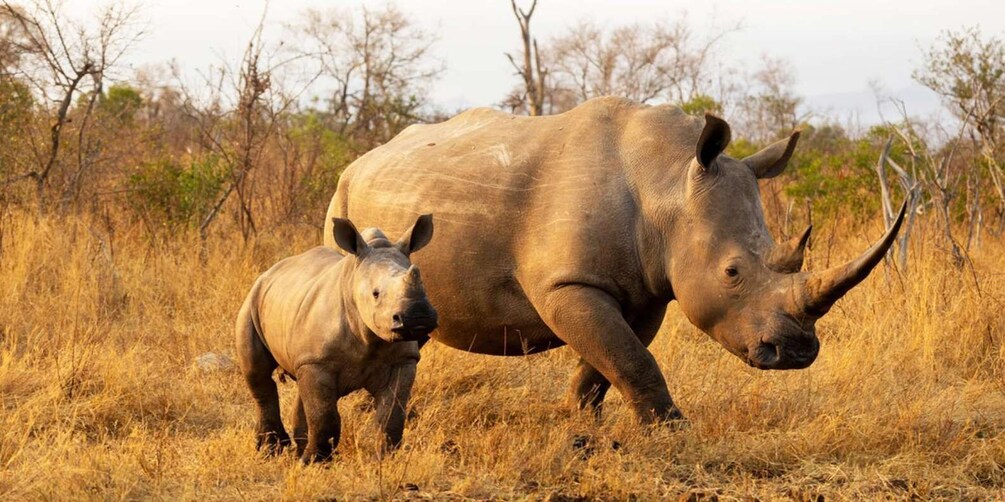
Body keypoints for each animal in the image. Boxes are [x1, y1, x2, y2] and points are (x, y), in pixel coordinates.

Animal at [235, 215, 437, 463]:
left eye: (425, 286)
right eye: (376, 294)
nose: (418, 317)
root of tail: (270, 271)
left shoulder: (403, 359)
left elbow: (391, 414)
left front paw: (384, 459)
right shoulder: (318, 361)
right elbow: (324, 416)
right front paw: (314, 462)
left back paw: (296, 448)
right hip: (252, 301)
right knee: (259, 375)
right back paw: (271, 451)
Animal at [323, 97, 904, 424]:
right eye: (732, 273)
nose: (797, 352)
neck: (667, 180)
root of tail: (363, 158)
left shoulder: (647, 289)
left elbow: (612, 360)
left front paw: (578, 423)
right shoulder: (567, 284)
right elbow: (630, 358)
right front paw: (673, 433)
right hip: (343, 199)